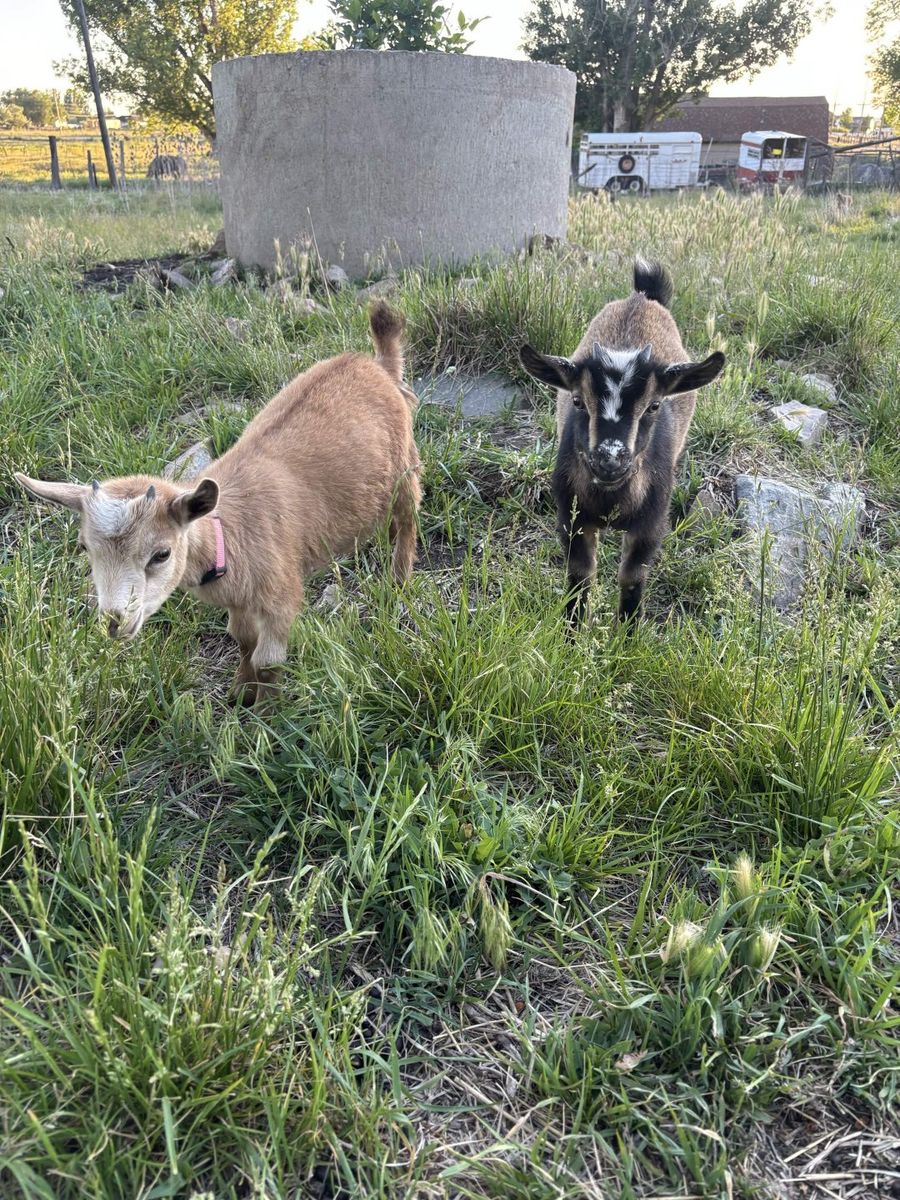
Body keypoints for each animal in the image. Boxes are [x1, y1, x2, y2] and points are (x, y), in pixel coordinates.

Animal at [15, 302, 421, 705]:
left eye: (161, 554)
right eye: (85, 548)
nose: (115, 622)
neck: (227, 534)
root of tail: (375, 364)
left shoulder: (281, 596)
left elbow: (268, 659)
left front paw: (267, 709)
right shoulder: (239, 602)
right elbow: (243, 641)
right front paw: (241, 690)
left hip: (404, 464)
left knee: (408, 517)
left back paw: (398, 580)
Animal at [519, 259, 724, 626]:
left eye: (654, 406)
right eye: (577, 401)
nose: (610, 460)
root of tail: (641, 297)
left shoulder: (651, 524)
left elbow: (632, 577)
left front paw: (627, 633)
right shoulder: (572, 518)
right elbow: (580, 575)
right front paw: (572, 630)